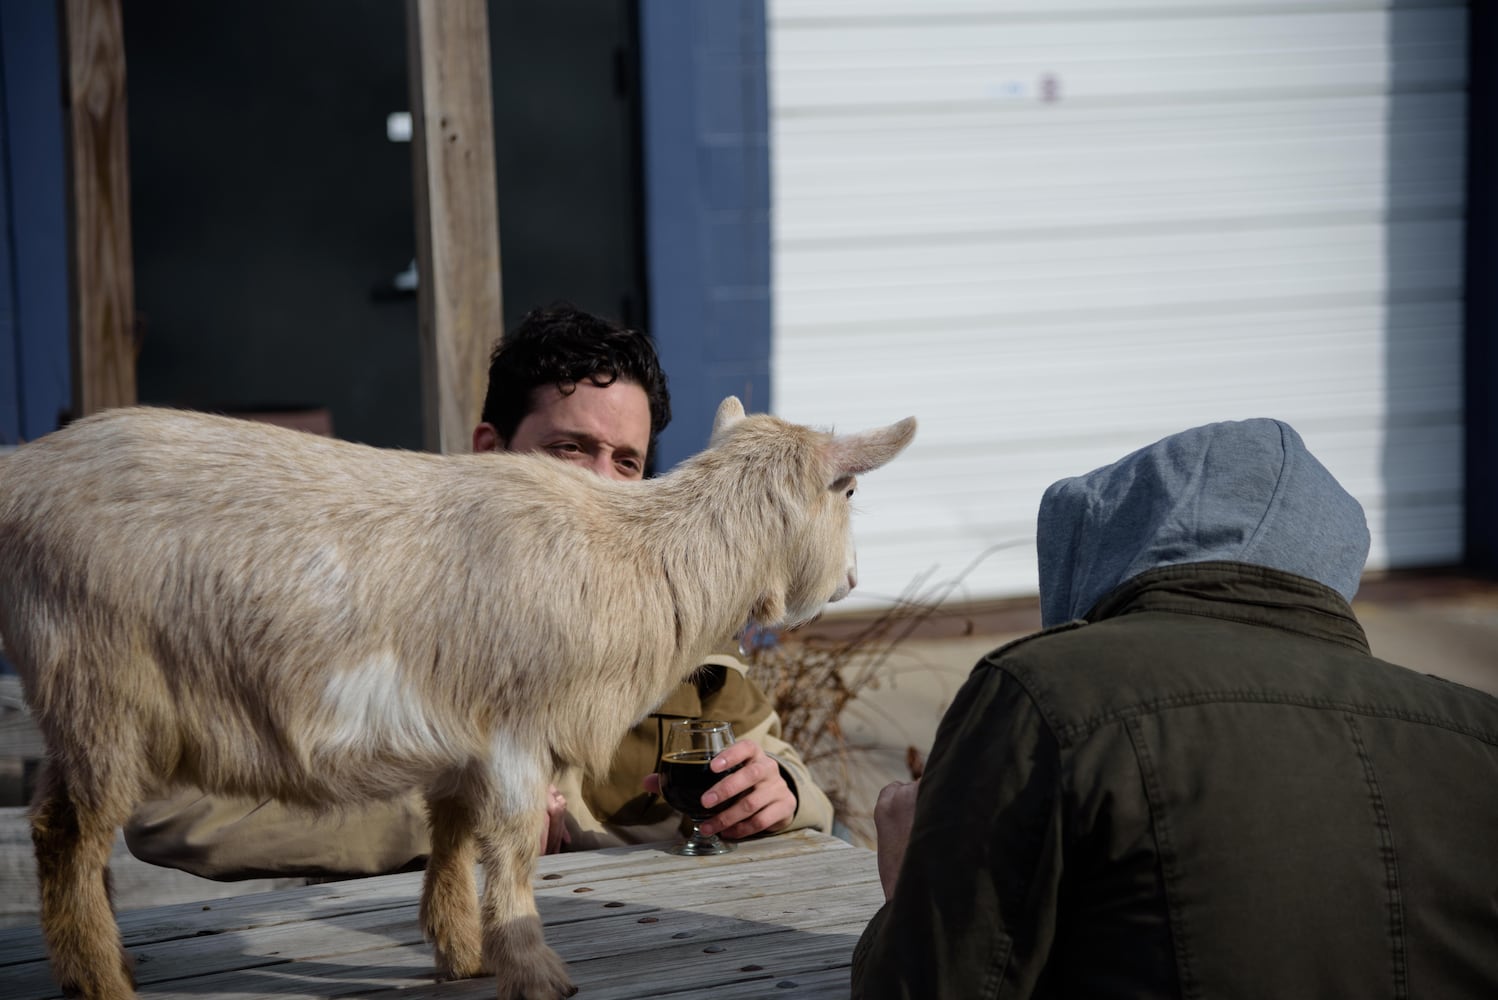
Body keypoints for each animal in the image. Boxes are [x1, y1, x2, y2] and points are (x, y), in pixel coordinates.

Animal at [0, 395, 910, 999]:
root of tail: (22, 474)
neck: (631, 551)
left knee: (63, 830)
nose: (853, 578)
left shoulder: (460, 731)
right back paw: (101, 980)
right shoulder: (516, 730)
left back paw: (104, 961)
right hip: (99, 683)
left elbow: (452, 831)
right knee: (66, 833)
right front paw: (535, 970)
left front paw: (462, 952)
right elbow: (510, 845)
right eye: (851, 491)